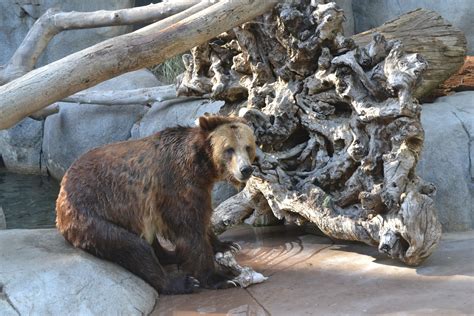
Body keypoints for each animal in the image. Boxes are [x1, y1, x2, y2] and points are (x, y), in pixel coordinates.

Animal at [55, 115, 258, 294]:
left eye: (248, 147)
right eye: (229, 149)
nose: (245, 169)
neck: (200, 165)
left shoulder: (199, 188)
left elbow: (203, 218)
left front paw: (226, 245)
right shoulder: (174, 183)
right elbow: (189, 229)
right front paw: (220, 278)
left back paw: (172, 255)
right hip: (90, 213)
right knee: (132, 246)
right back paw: (181, 282)